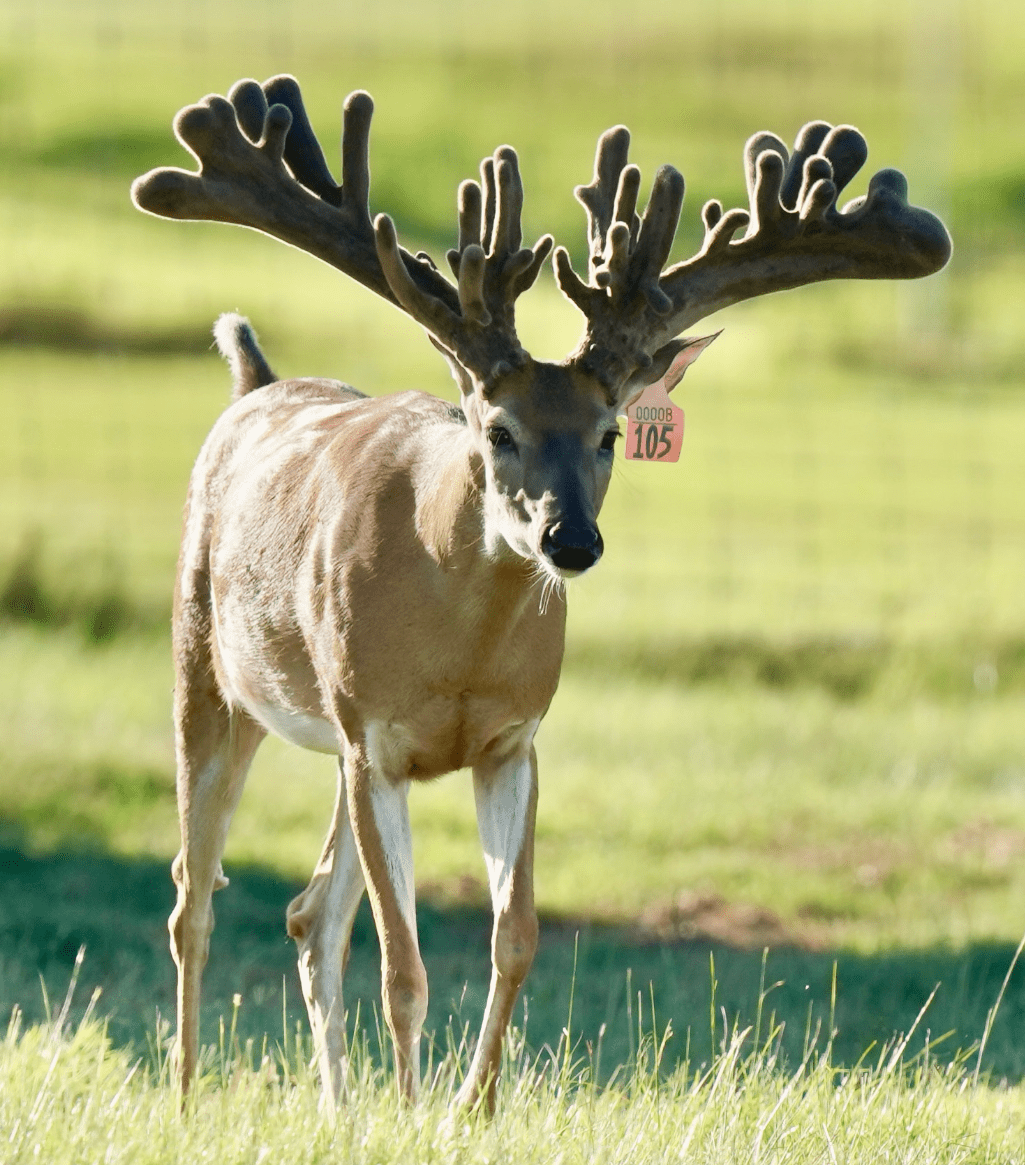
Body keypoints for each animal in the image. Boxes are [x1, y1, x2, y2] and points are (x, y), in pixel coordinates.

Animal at [131, 74, 950, 1113]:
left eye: (610, 432)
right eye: (497, 427)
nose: (572, 539)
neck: (459, 647)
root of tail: (255, 385)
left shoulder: (512, 739)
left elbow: (513, 937)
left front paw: (468, 1111)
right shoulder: (374, 737)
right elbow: (404, 961)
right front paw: (415, 1114)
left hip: (330, 742)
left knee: (309, 912)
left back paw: (338, 1109)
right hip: (208, 670)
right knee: (192, 897)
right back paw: (188, 1095)